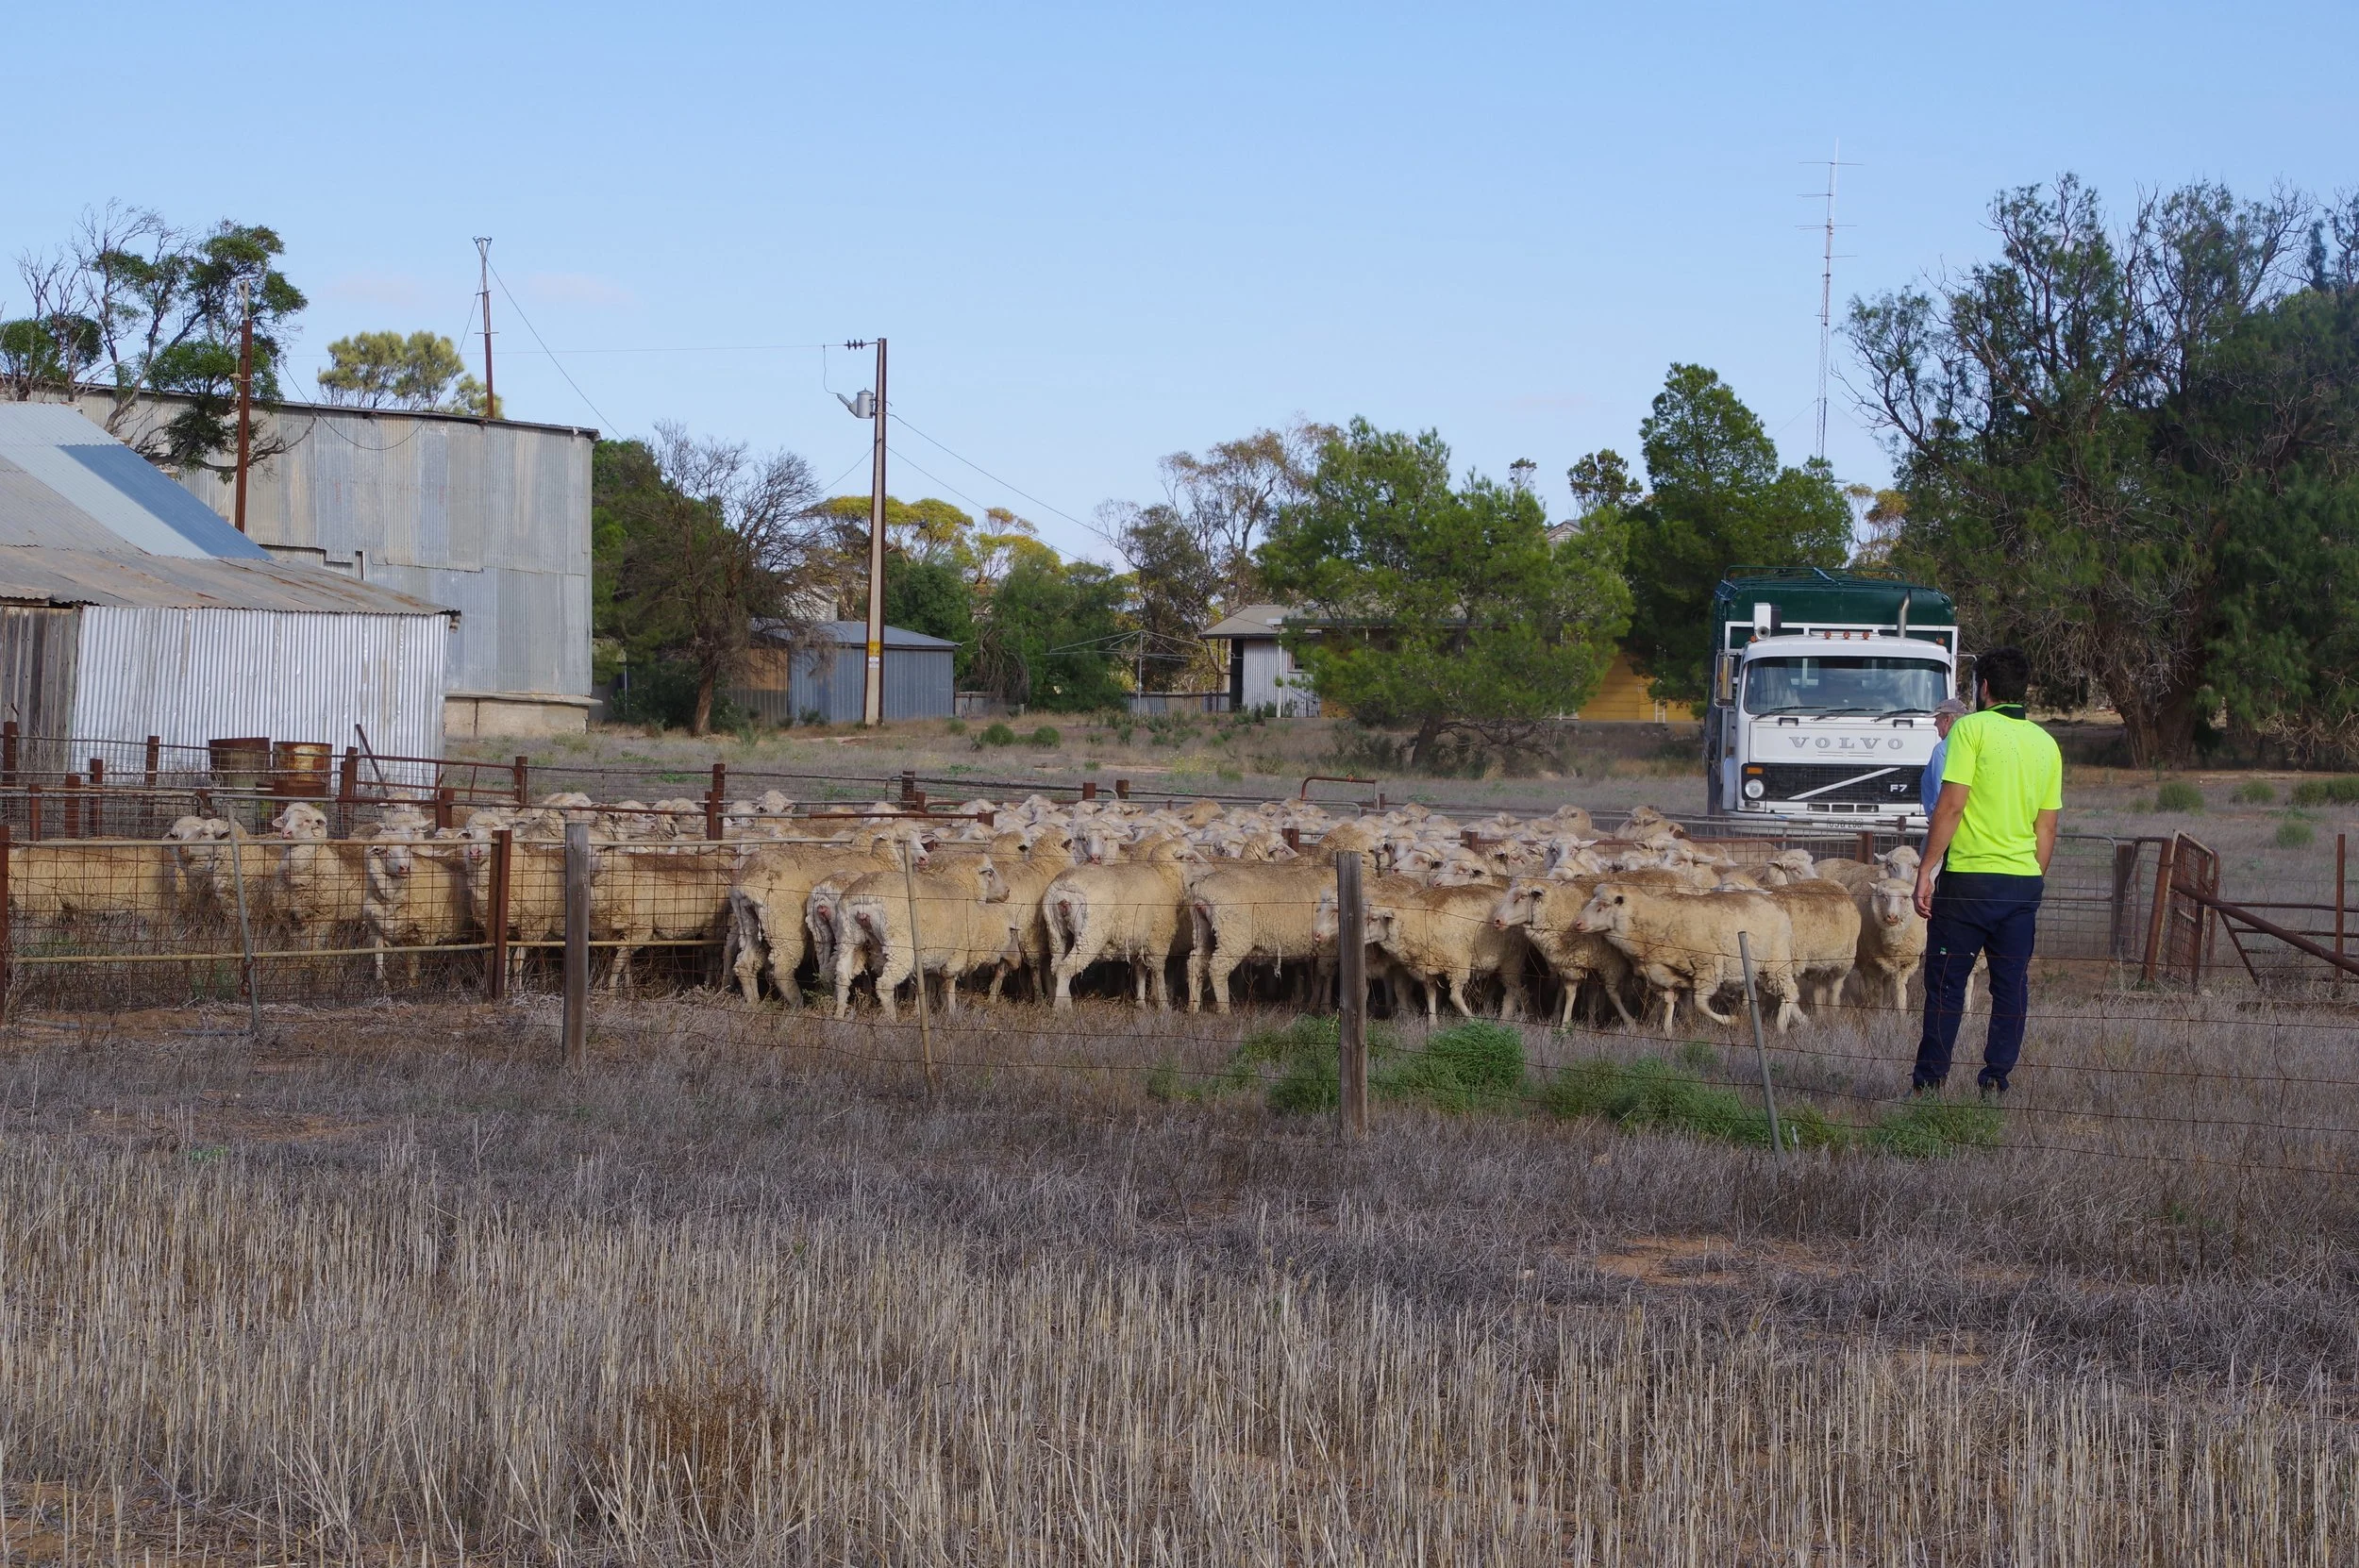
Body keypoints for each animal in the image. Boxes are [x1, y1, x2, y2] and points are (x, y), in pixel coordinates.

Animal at [1573, 881, 1802, 1035]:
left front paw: (1732, 1021)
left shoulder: (1709, 966)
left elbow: (1699, 1004)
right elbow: (1671, 1000)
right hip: (1759, 967)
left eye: (1603, 906)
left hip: (1776, 961)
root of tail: (1775, 902)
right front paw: (1668, 1030)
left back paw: (1781, 1027)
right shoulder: (1661, 972)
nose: (1577, 924)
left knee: (1790, 991)